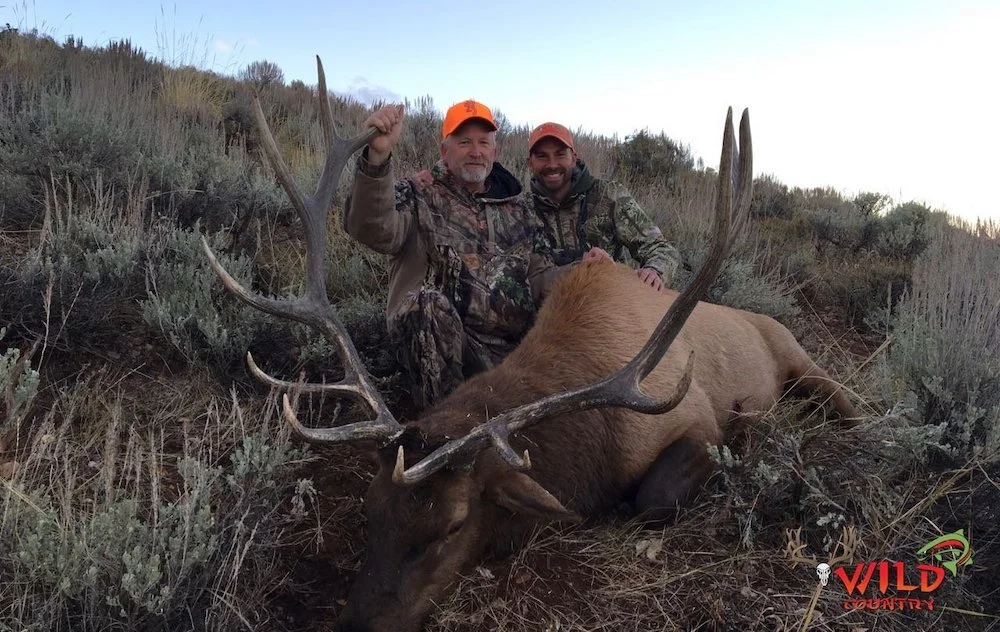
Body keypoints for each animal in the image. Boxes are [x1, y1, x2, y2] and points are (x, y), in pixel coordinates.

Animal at [202, 57, 861, 632]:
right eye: (371, 509)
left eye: (452, 526)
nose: (357, 624)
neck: (591, 448)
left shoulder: (694, 418)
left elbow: (653, 497)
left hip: (799, 358)